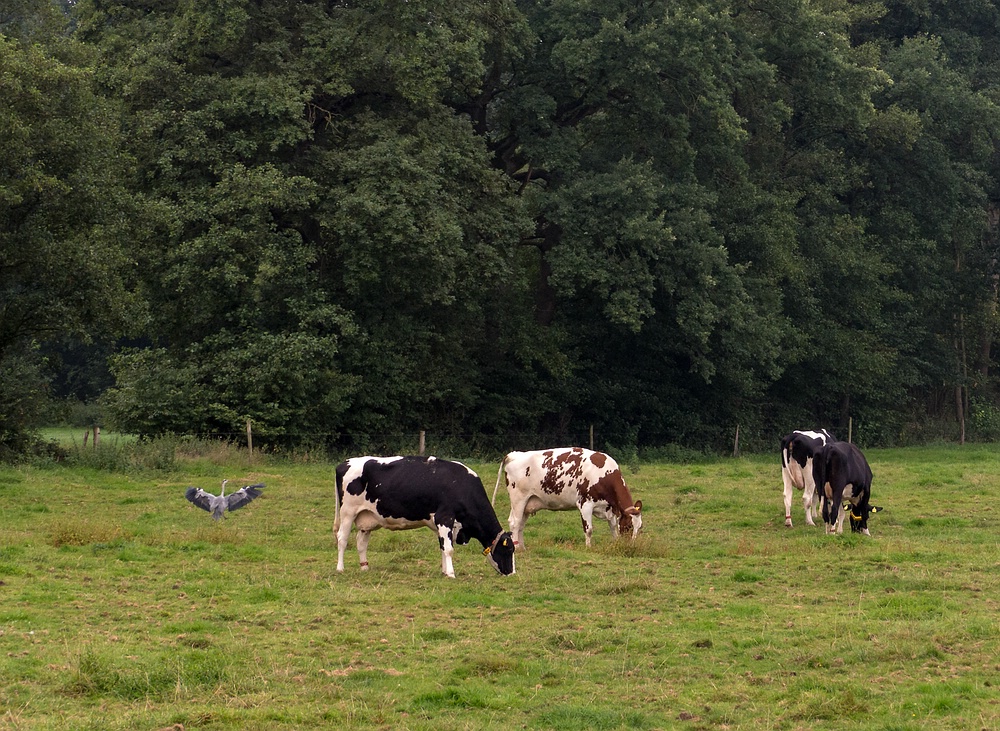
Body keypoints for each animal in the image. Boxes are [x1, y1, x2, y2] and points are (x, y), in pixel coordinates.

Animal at [336, 454, 516, 580]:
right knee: (342, 538)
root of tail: (344, 463)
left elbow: (443, 547)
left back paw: (364, 567)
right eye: (509, 549)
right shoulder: (444, 517)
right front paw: (451, 574)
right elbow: (449, 549)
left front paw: (444, 571)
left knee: (361, 542)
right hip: (347, 512)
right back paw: (340, 568)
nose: (512, 573)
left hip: (366, 518)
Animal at [490, 446, 644, 548]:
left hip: (528, 502)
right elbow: (589, 529)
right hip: (518, 499)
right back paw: (516, 548)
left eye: (640, 527)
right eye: (629, 526)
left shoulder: (610, 508)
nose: (632, 546)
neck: (604, 475)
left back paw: (522, 548)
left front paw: (616, 543)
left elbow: (613, 527)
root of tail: (515, 454)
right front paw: (589, 548)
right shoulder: (585, 504)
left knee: (520, 524)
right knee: (515, 522)